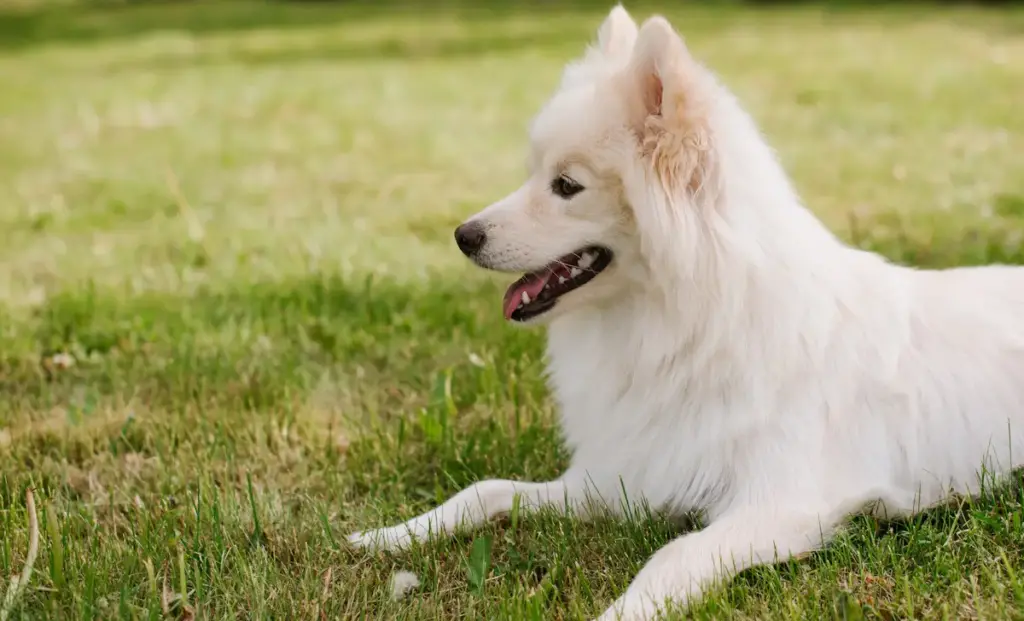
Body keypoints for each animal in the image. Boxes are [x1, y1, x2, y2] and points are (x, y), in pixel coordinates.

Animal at [350, 6, 1024, 621]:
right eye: (533, 174)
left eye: (566, 186)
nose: (463, 236)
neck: (693, 321)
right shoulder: (622, 475)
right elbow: (483, 490)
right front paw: (386, 537)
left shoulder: (782, 502)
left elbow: (673, 555)